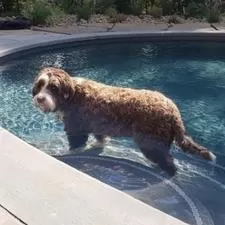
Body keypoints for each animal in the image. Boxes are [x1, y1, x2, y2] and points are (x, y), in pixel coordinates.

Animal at [31, 67, 216, 176]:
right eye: (40, 85)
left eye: (53, 88)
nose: (40, 99)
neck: (72, 93)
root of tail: (174, 112)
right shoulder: (98, 125)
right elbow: (100, 138)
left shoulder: (76, 128)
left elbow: (77, 145)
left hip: (150, 141)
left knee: (169, 163)